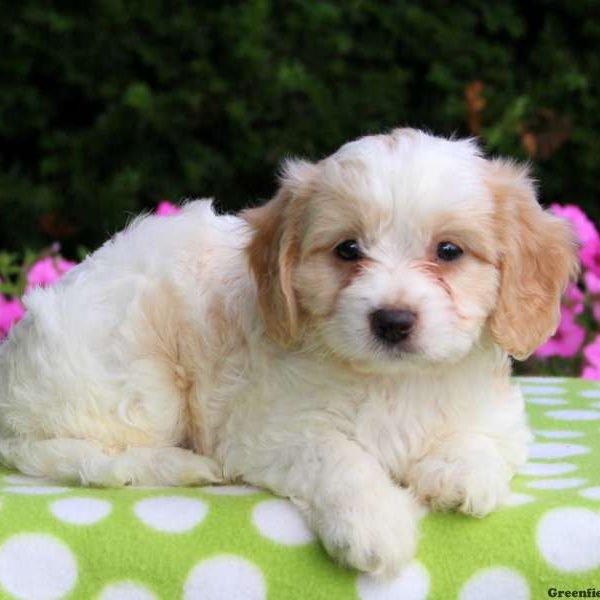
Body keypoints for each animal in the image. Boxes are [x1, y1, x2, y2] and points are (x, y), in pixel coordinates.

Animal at [1, 129, 580, 576]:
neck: (393, 381)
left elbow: (480, 439)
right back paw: (182, 464)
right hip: (141, 384)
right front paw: (375, 524)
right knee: (90, 452)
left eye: (449, 251)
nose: (392, 321)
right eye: (348, 250)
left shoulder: (499, 417)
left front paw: (460, 474)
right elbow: (338, 456)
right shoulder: (270, 432)